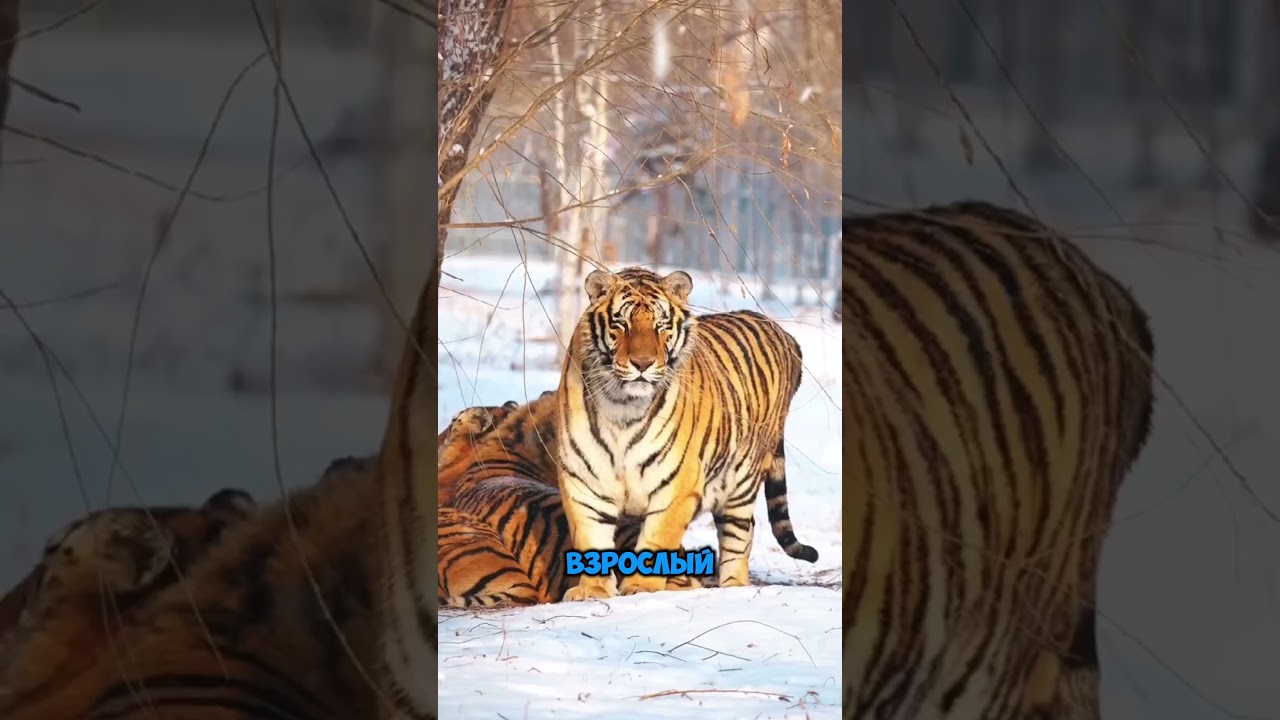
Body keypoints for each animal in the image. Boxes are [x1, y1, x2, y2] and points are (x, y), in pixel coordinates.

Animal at [556, 266, 817, 601]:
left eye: (660, 325)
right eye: (621, 323)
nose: (642, 363)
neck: (622, 406)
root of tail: (784, 333)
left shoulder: (677, 484)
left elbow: (657, 541)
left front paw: (641, 587)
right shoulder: (584, 479)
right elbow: (591, 538)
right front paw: (592, 590)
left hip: (742, 481)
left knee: (739, 535)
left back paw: (734, 588)